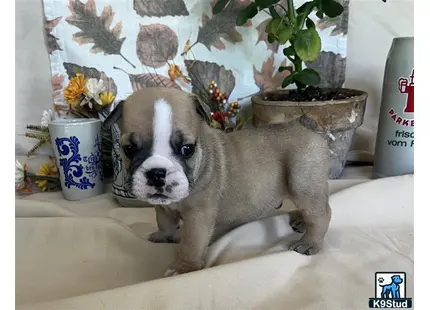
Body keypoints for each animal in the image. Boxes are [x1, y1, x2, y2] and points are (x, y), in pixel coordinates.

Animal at [103, 86, 330, 276]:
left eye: (186, 149)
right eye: (129, 149)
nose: (157, 173)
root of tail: (303, 123)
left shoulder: (198, 216)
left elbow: (191, 244)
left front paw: (183, 268)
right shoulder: (163, 207)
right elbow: (165, 222)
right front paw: (162, 236)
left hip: (303, 184)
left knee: (321, 213)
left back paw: (309, 242)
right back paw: (300, 221)